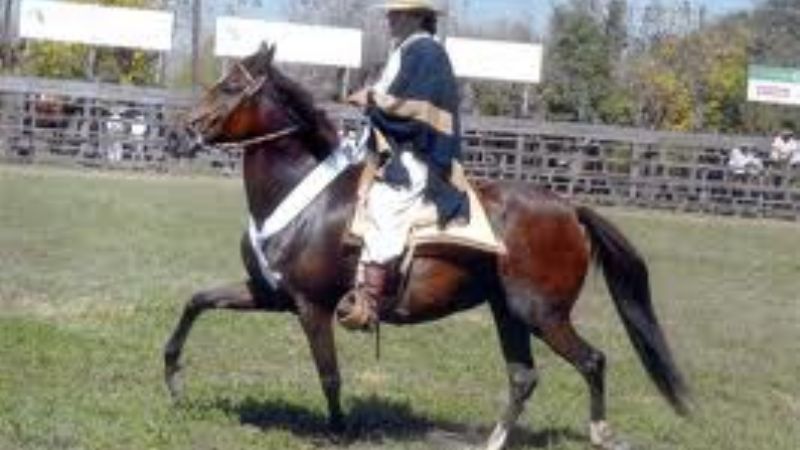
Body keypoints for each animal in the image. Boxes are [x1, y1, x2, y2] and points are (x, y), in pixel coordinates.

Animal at [163, 44, 690, 450]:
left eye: (230, 87)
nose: (182, 129)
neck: (306, 195)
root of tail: (569, 209)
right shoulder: (270, 294)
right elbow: (196, 301)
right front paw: (173, 378)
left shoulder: (312, 306)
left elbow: (329, 374)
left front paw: (338, 430)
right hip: (509, 313)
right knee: (523, 376)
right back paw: (493, 441)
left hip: (542, 314)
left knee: (591, 361)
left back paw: (600, 432)